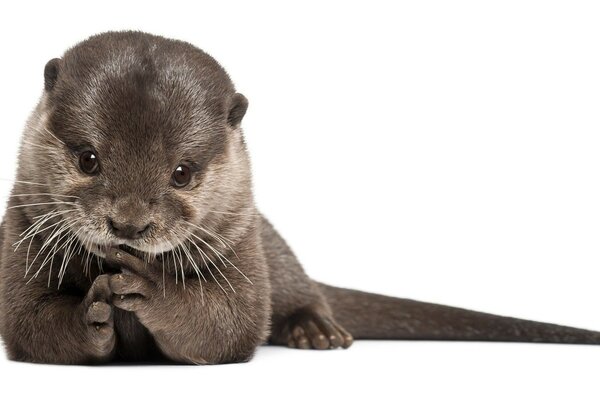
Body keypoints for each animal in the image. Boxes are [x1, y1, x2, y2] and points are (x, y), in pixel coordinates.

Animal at [1, 30, 600, 362]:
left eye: (182, 173)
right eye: (88, 158)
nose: (128, 224)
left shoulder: (241, 241)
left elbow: (232, 324)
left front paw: (150, 287)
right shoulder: (20, 230)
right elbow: (26, 323)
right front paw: (89, 313)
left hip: (272, 249)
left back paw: (318, 330)